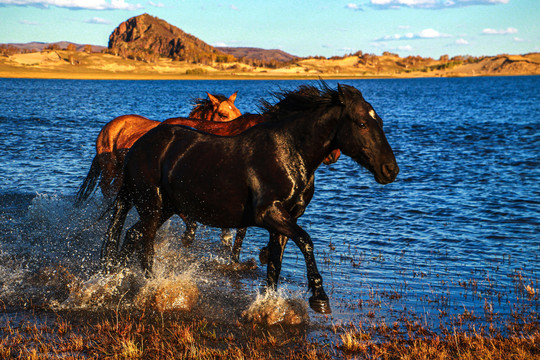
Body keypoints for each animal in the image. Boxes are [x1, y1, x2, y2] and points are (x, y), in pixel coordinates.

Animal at [102, 83, 396, 314]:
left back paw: (116, 279)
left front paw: (269, 304)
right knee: (145, 248)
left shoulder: (284, 220)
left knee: (131, 236)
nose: (391, 170)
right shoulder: (269, 214)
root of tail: (137, 146)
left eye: (379, 122)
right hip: (152, 206)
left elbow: (275, 264)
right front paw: (319, 298)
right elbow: (306, 241)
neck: (289, 152)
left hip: (165, 208)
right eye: (361, 123)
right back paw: (153, 288)